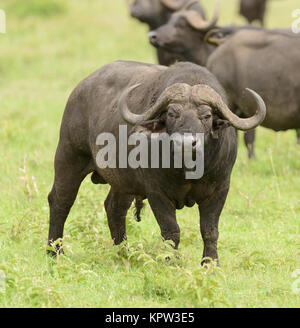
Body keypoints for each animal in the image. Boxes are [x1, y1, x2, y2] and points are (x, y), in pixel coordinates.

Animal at [48, 60, 266, 264]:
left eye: (206, 116)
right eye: (172, 114)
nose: (186, 142)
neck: (187, 169)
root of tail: (80, 89)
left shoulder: (219, 190)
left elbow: (209, 230)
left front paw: (210, 264)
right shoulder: (157, 193)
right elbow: (171, 232)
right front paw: (172, 262)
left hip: (123, 181)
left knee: (114, 208)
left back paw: (123, 253)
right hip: (69, 157)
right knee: (60, 201)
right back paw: (54, 251)